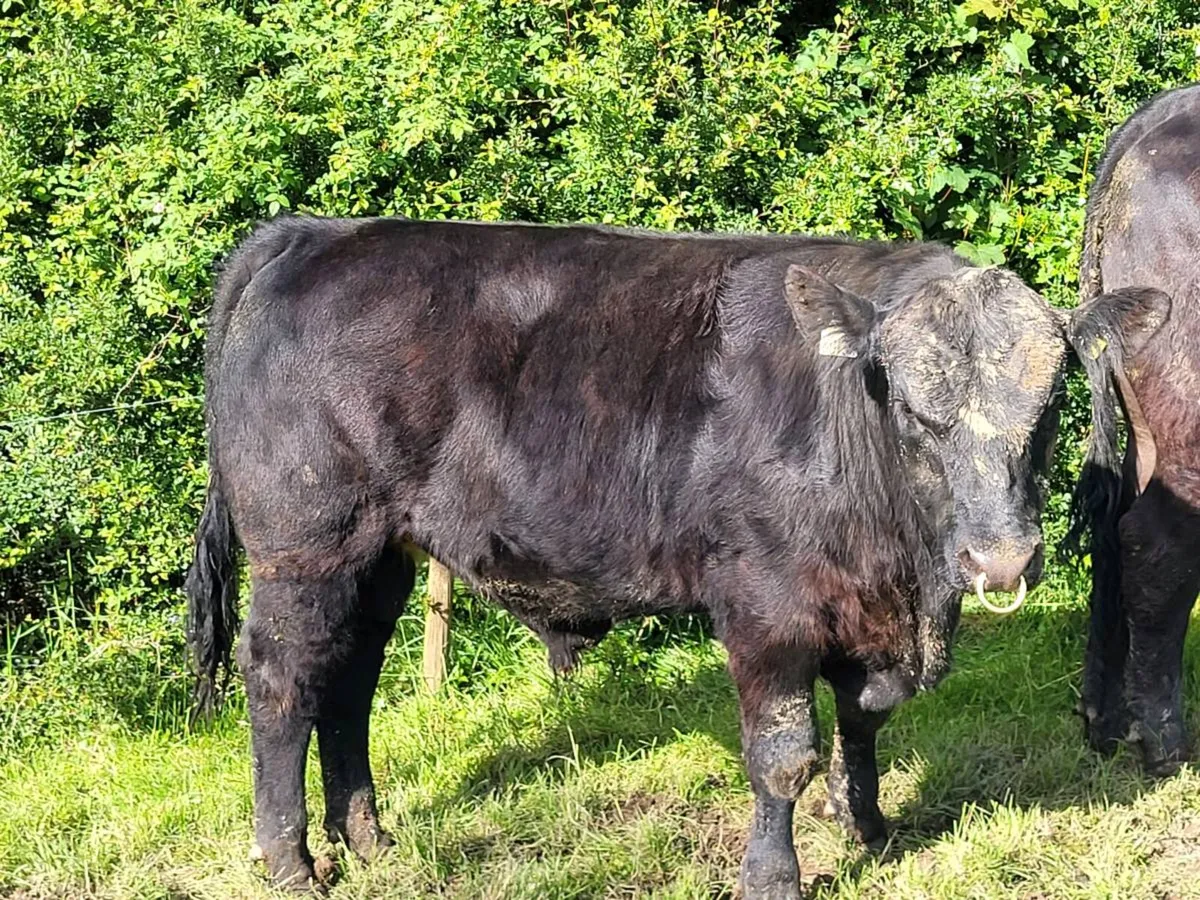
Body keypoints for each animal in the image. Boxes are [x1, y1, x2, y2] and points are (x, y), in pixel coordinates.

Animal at [184, 216, 1136, 897]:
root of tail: (309, 234)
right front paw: (774, 878)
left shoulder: (863, 612)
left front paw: (867, 828)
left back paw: (372, 841)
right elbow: (783, 755)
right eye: (909, 406)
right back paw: (292, 863)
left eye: (1050, 403)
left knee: (347, 685)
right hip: (307, 551)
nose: (1001, 559)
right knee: (282, 683)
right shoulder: (765, 607)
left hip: (378, 557)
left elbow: (863, 720)